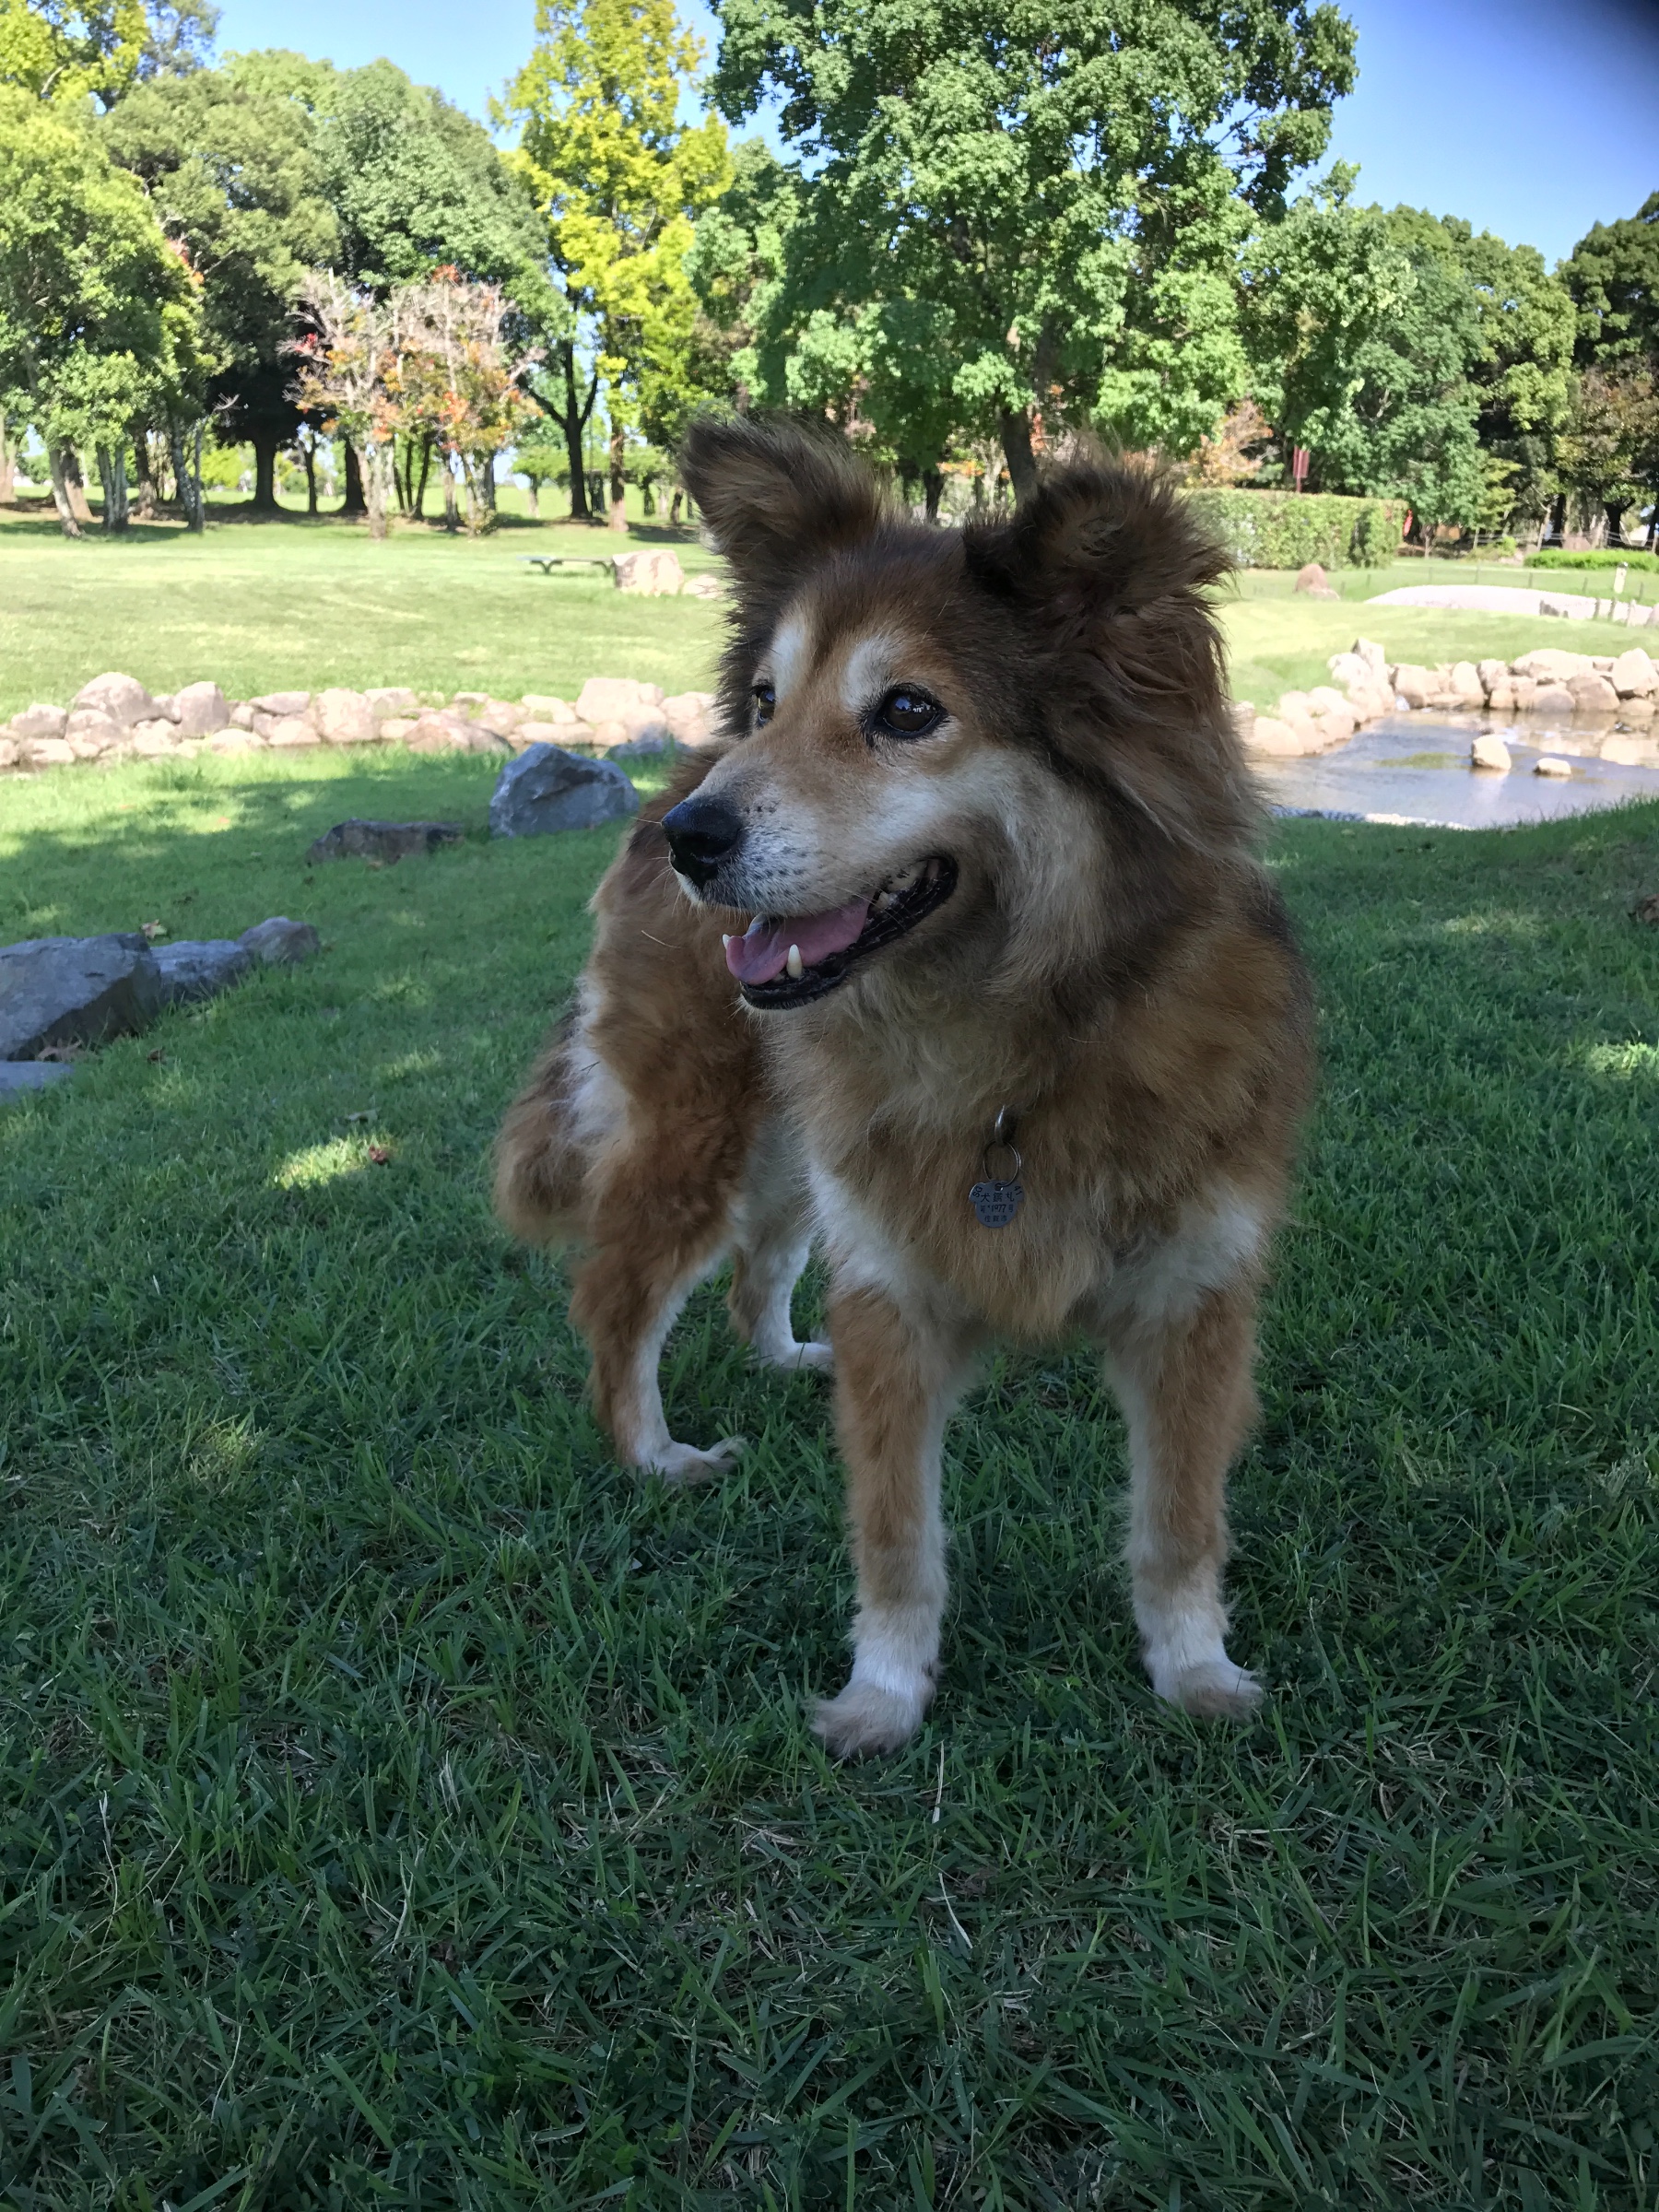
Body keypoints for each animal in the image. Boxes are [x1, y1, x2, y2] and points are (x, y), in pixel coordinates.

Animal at [495, 417, 1314, 1757]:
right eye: (769, 701)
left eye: (909, 710)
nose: (694, 844)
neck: (1012, 1041)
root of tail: (673, 772)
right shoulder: (895, 1293)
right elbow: (894, 1538)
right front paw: (882, 1697)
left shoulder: (1193, 1301)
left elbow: (1179, 1528)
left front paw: (1196, 1673)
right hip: (700, 1140)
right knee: (618, 1302)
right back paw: (654, 1455)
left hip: (792, 1154)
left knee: (754, 1273)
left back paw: (784, 1356)